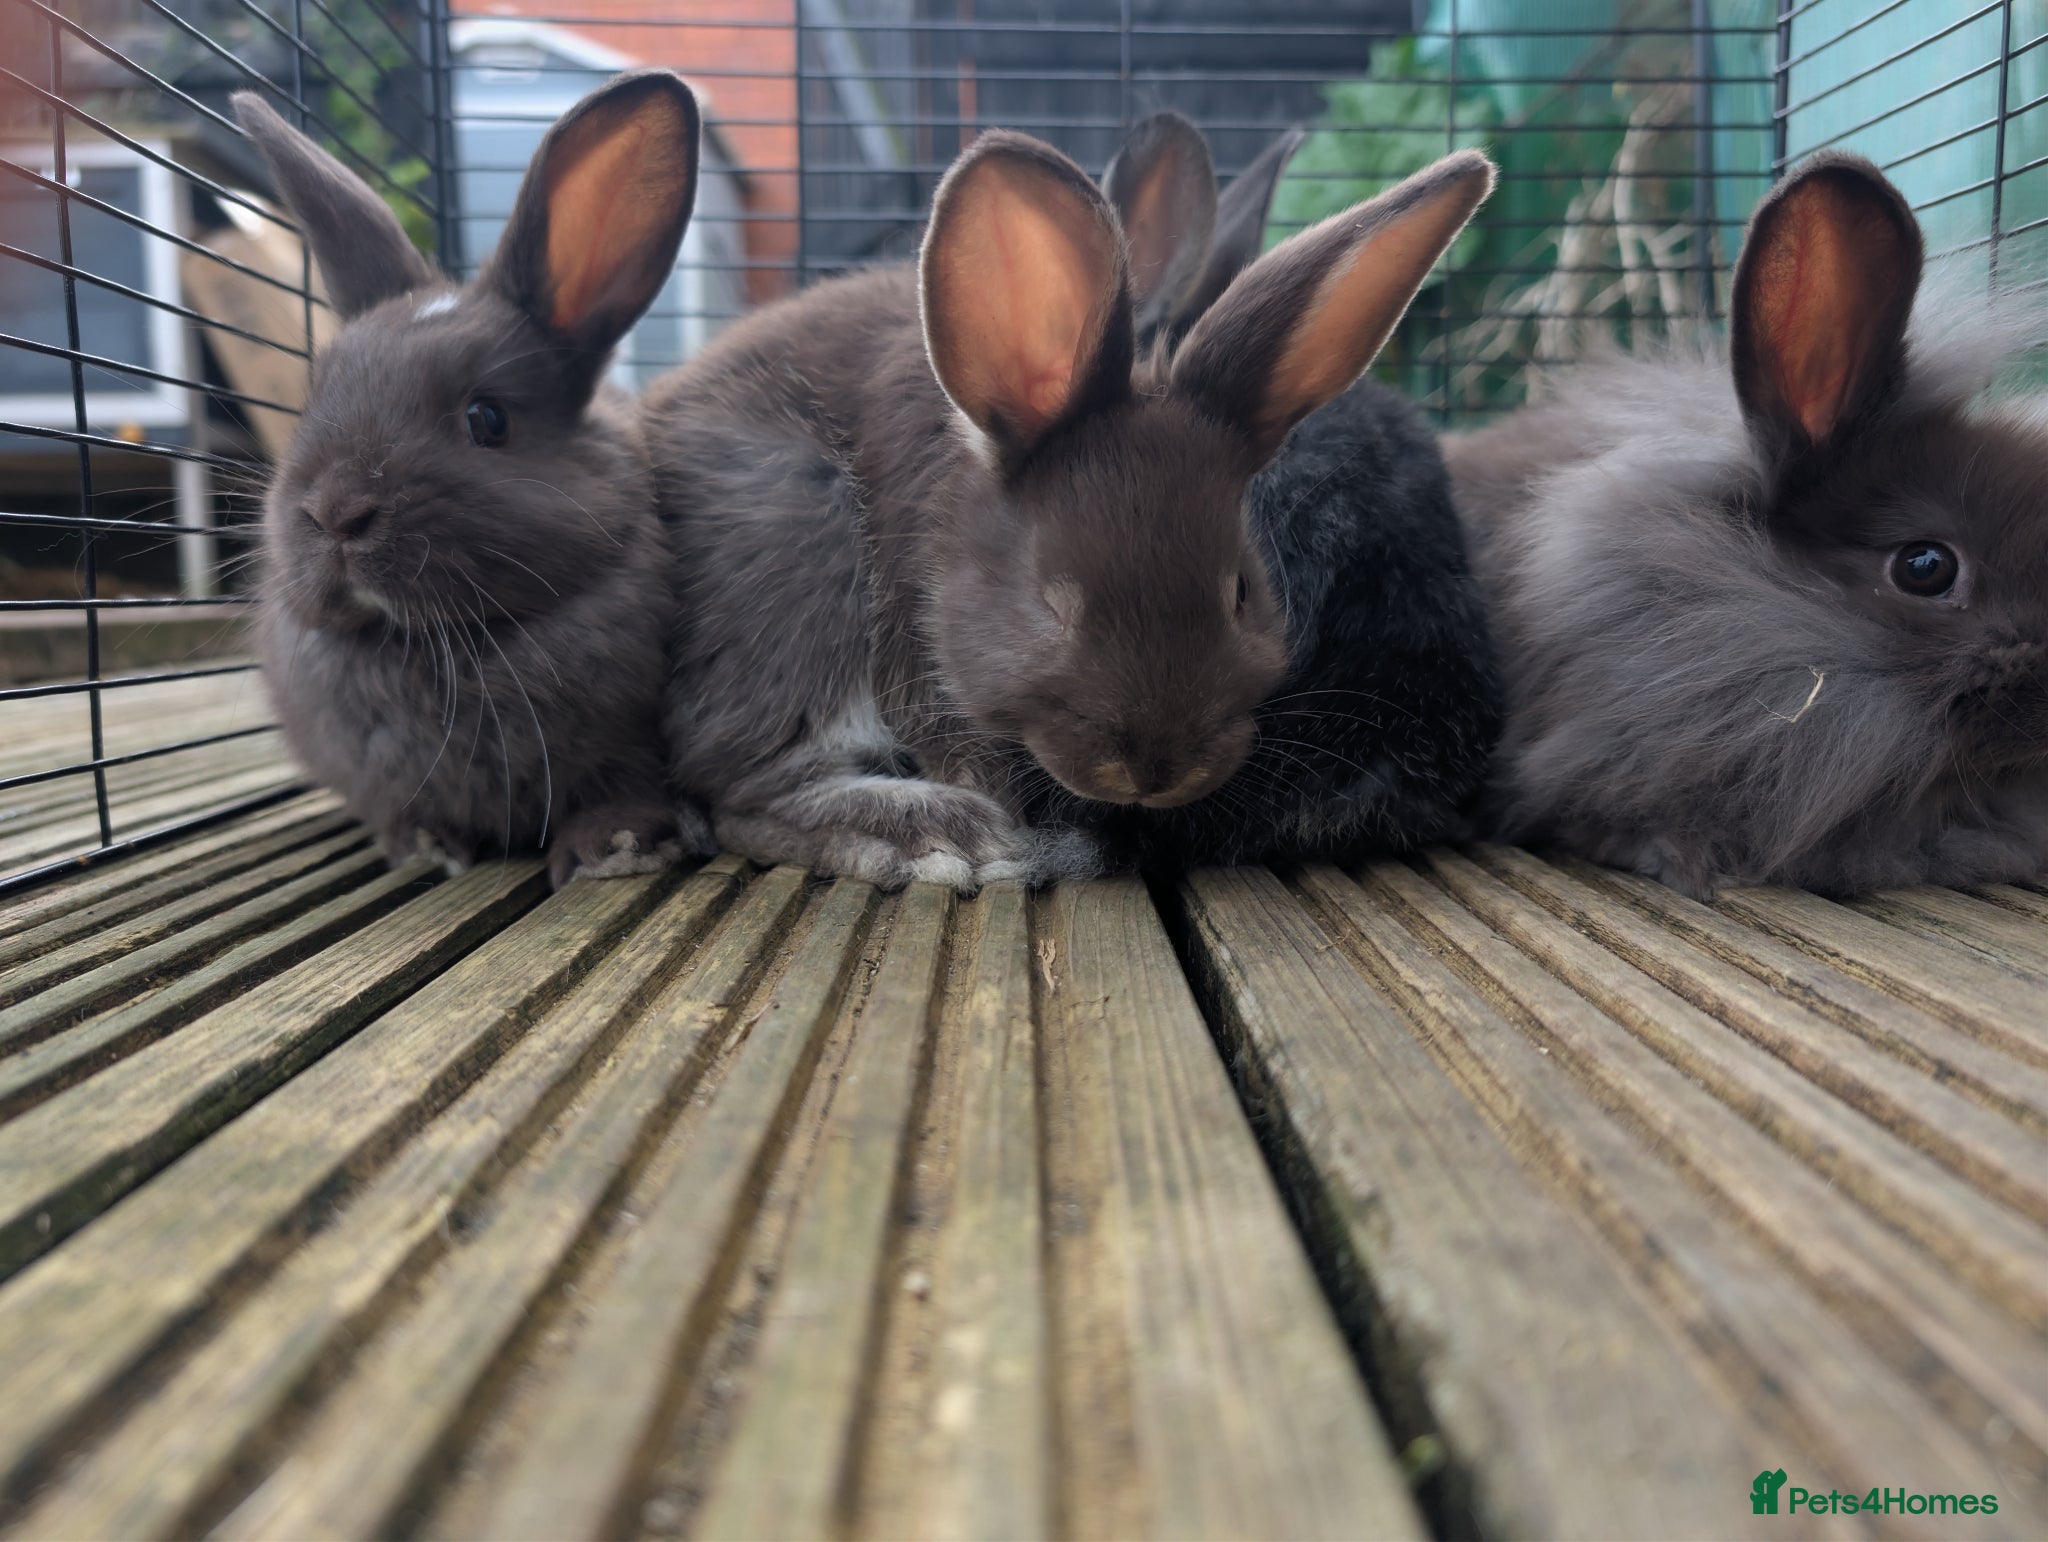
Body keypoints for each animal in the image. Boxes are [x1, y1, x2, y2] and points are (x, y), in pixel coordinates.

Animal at [234, 71, 712, 889]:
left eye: (487, 419)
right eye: (314, 399)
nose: (335, 513)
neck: (430, 646)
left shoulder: (635, 751)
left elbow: (622, 792)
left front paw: (613, 850)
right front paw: (427, 848)